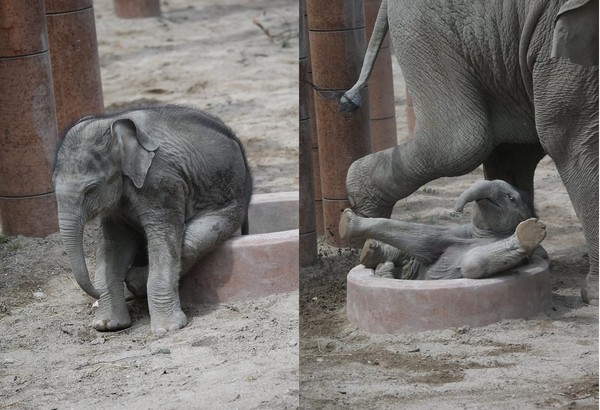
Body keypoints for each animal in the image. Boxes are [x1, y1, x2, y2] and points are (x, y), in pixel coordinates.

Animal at [54, 104, 253, 334]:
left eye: (91, 189)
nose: (95, 293)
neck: (113, 125)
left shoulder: (160, 182)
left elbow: (162, 237)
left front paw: (168, 329)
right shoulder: (117, 204)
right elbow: (113, 246)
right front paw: (107, 325)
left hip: (231, 201)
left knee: (190, 243)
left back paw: (134, 282)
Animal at [340, 180, 548, 280]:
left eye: (511, 199)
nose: (458, 209)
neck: (485, 234)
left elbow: (472, 264)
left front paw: (531, 230)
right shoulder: (459, 232)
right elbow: (424, 240)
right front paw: (347, 221)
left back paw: (384, 267)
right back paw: (372, 254)